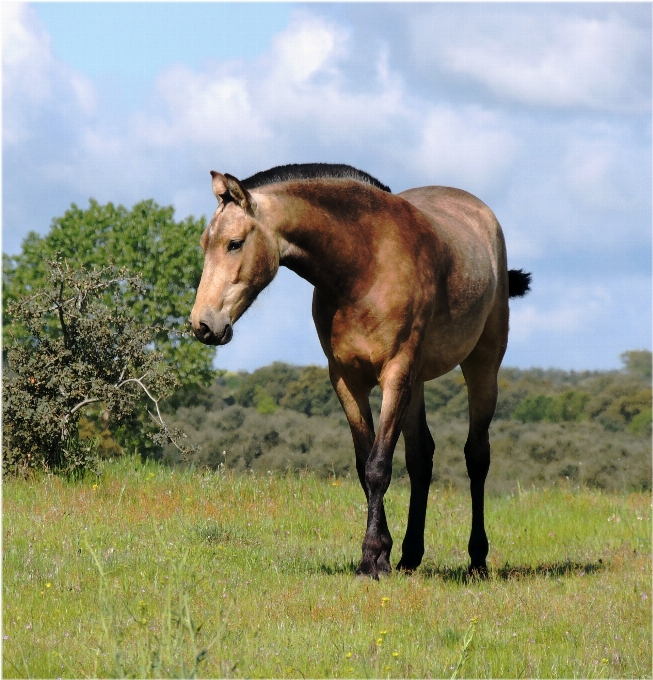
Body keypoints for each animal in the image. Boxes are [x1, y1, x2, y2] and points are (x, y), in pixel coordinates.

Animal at [188, 165, 528, 580]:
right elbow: (364, 465)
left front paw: (370, 561)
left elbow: (378, 467)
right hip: (417, 383)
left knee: (476, 455)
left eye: (234, 243)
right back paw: (410, 556)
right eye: (205, 243)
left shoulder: (395, 374)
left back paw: (477, 559)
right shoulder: (347, 381)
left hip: (481, 366)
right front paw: (381, 555)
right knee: (421, 458)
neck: (364, 266)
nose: (203, 325)